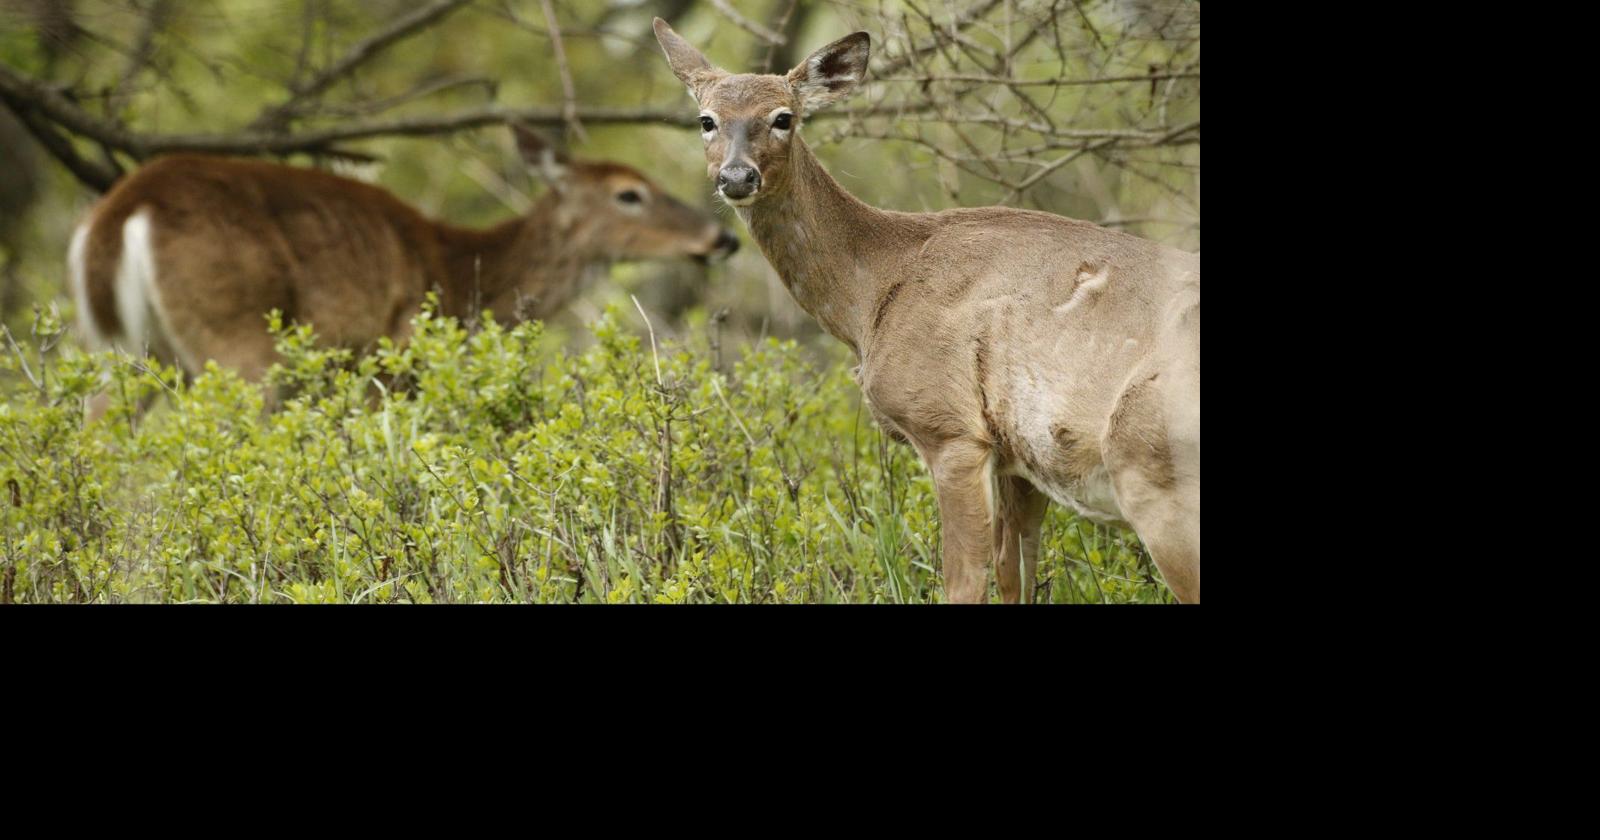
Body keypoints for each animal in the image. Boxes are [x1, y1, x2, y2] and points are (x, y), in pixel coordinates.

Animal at [68, 123, 739, 420]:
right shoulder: (399, 348)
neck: (460, 275)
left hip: (135, 349)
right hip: (236, 336)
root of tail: (124, 208)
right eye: (630, 194)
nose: (723, 238)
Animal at [652, 20, 1199, 604]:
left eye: (784, 117)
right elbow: (1014, 575)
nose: (737, 178)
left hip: (1151, 466)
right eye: (706, 119)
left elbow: (963, 581)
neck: (873, 293)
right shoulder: (1020, 460)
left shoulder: (948, 427)